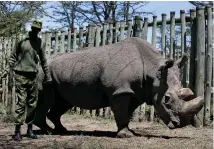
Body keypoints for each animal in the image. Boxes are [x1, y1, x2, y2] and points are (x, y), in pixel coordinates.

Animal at [33, 36, 204, 138]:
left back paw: (61, 130)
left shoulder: (135, 92)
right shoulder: (120, 91)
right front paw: (126, 135)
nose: (180, 125)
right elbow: (121, 112)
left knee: (63, 102)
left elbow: (126, 113)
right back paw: (48, 132)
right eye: (167, 99)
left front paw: (129, 131)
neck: (153, 69)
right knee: (47, 100)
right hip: (44, 73)